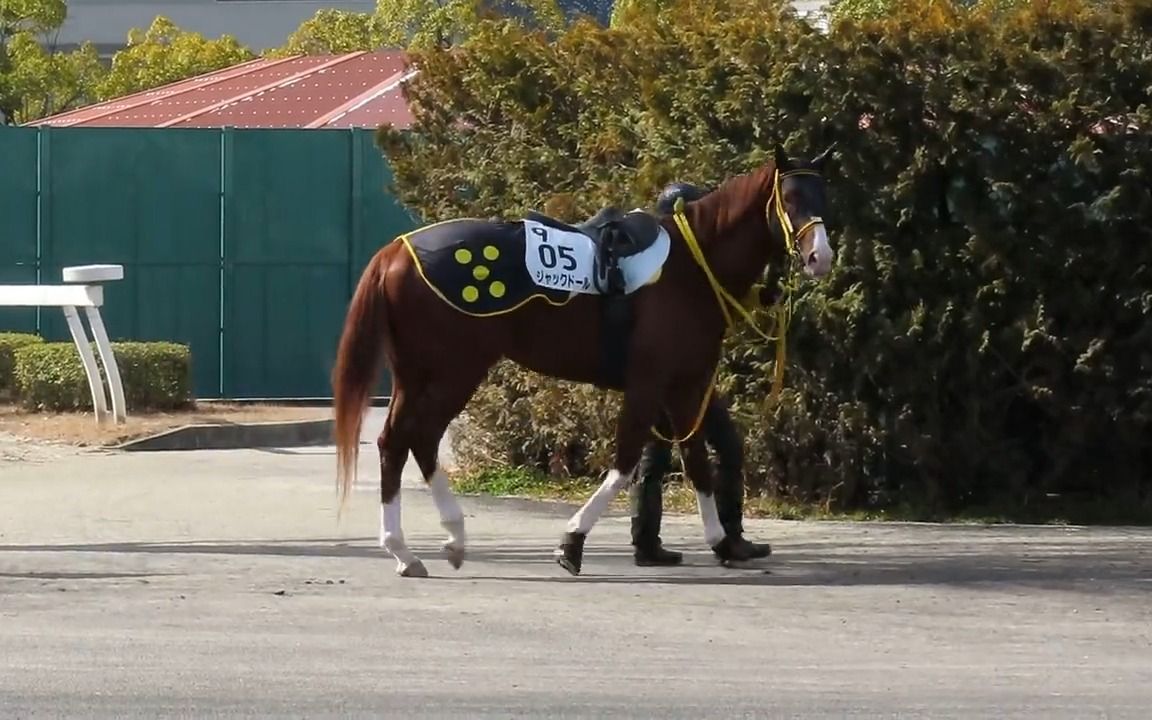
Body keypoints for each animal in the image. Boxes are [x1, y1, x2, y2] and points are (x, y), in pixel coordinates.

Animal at [329, 143, 834, 576]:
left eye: (824, 195)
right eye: (790, 196)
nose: (820, 256)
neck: (693, 266)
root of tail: (396, 250)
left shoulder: (687, 386)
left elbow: (695, 463)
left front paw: (723, 542)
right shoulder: (649, 384)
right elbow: (627, 463)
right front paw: (571, 542)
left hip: (418, 376)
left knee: (403, 442)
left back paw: (432, 545)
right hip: (454, 372)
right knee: (413, 439)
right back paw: (413, 547)